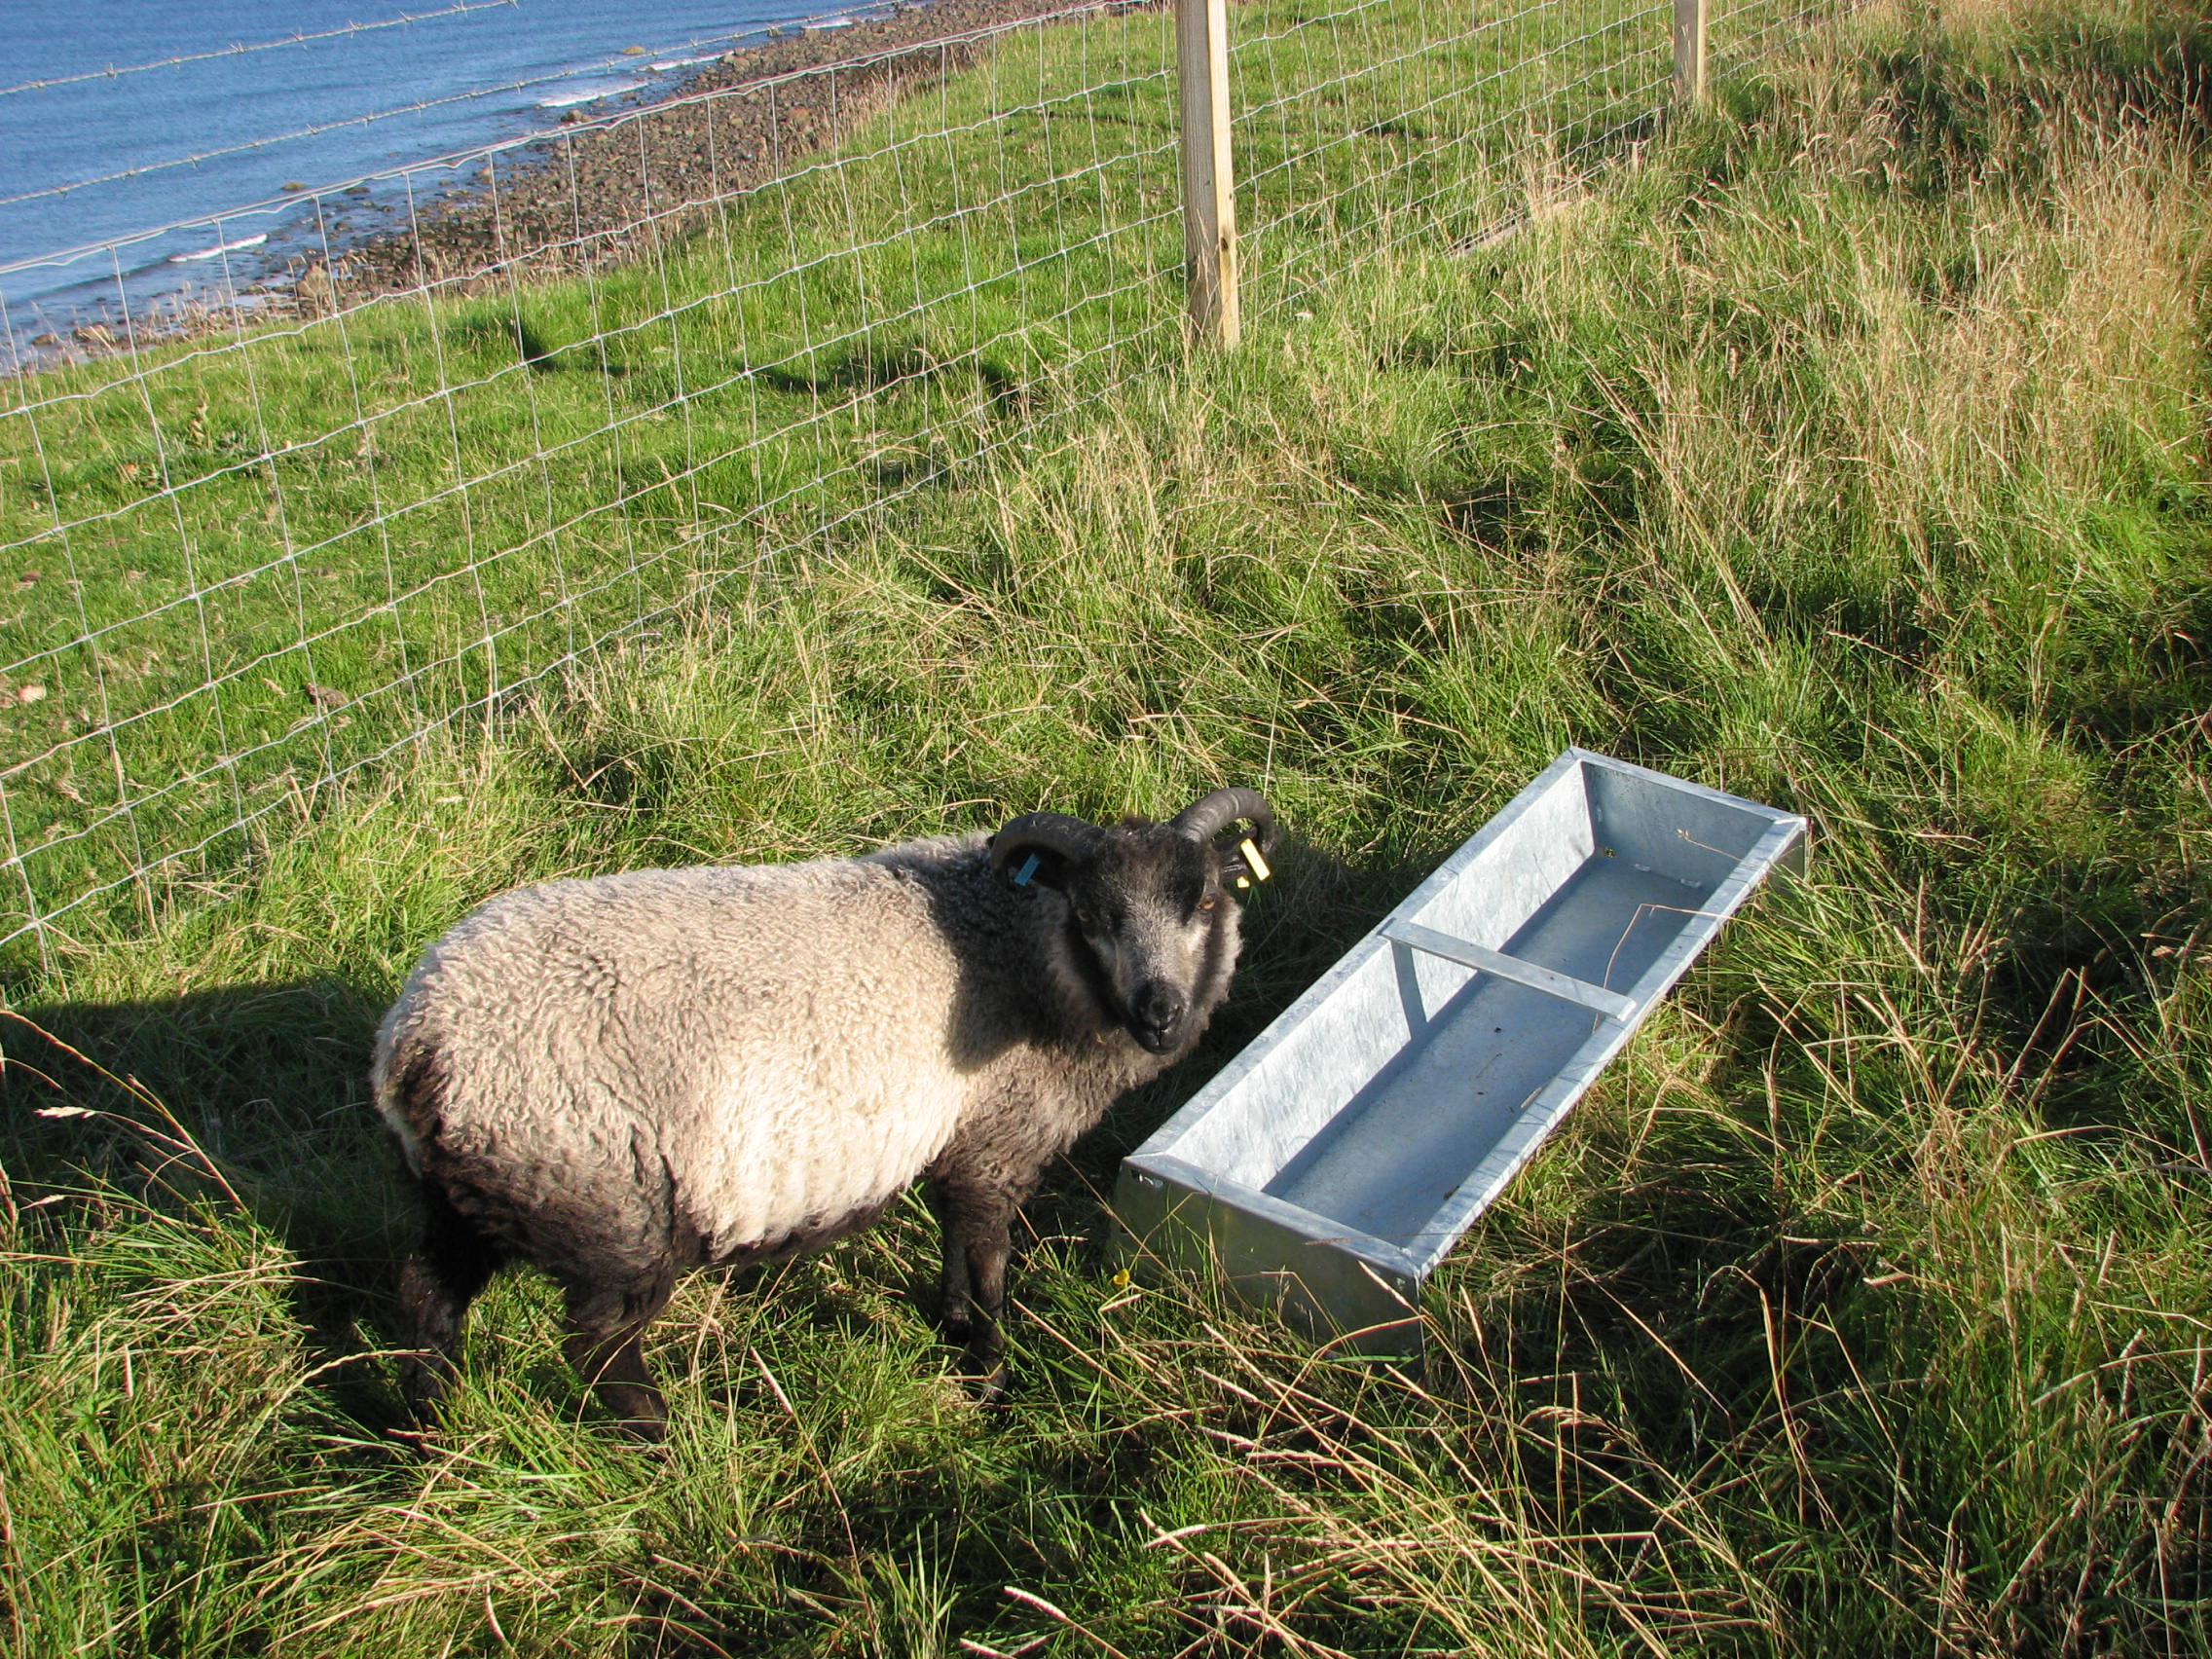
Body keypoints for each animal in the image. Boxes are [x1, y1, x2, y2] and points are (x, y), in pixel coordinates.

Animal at [373, 787, 1278, 1437]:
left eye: (1204, 903)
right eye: (1092, 916)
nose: (1160, 1015)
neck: (1028, 957)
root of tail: (418, 1045)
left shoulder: (958, 1147)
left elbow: (955, 1253)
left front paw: (949, 1328)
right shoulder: (994, 1148)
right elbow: (987, 1267)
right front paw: (991, 1378)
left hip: (474, 1194)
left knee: (426, 1294)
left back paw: (429, 1422)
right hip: (608, 1203)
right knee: (596, 1341)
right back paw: (658, 1436)